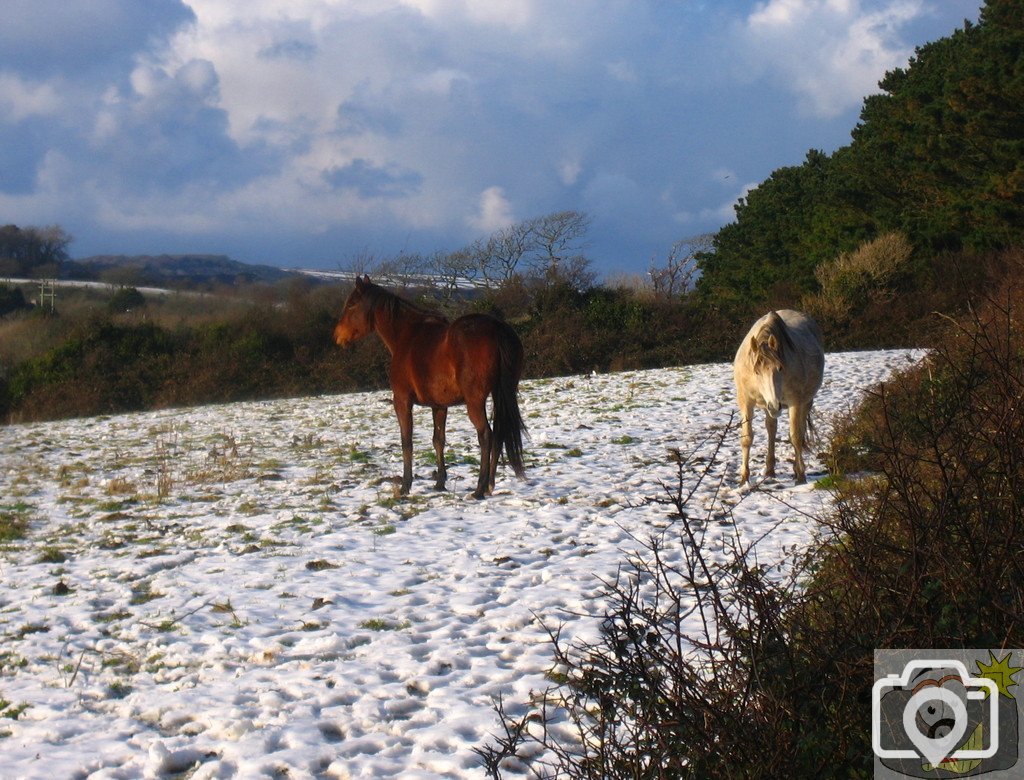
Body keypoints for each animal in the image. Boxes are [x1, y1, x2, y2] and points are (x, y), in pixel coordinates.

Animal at [335, 276, 528, 497]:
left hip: (475, 402)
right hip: (500, 395)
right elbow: (438, 440)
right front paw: (439, 482)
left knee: (486, 435)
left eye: (351, 304)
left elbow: (407, 442)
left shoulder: (402, 401)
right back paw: (489, 486)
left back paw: (479, 488)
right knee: (498, 434)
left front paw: (405, 485)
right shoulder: (439, 405)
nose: (337, 335)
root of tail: (497, 328)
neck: (407, 337)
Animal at [737, 309, 823, 481]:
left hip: (806, 402)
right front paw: (744, 479)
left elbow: (796, 436)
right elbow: (747, 438)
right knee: (771, 429)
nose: (775, 406)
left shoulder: (795, 402)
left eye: (780, 368)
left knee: (799, 431)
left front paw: (801, 475)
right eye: (756, 371)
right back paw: (770, 469)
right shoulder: (745, 402)